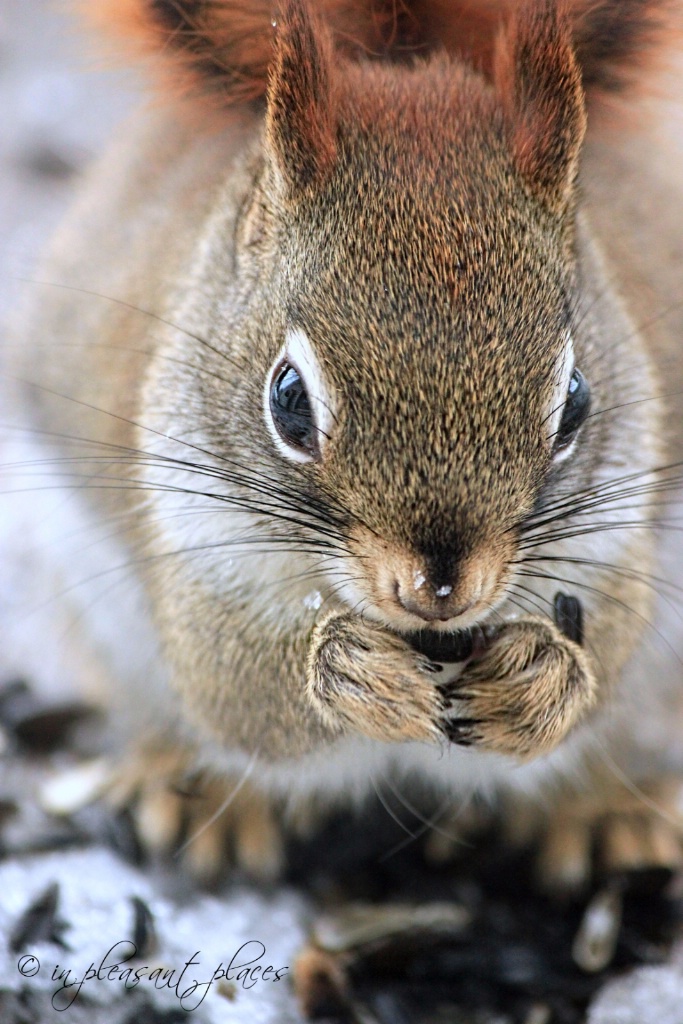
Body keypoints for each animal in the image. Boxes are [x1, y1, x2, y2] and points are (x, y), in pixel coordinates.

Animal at [3, 0, 683, 884]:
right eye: (288, 399)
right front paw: (349, 670)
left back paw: (605, 812)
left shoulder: (613, 547)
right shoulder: (195, 553)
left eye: (575, 402)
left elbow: (611, 640)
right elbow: (234, 681)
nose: (439, 588)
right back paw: (187, 787)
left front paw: (539, 680)